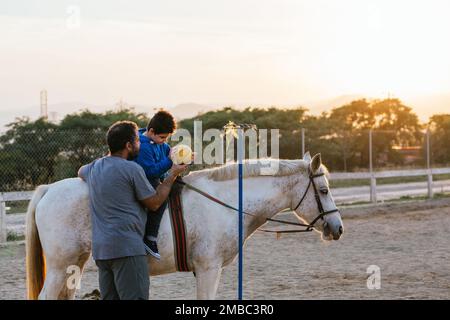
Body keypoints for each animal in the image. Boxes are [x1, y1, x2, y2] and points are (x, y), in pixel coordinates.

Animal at [26, 153, 344, 300]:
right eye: (324, 190)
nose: (338, 228)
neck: (227, 202)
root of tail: (48, 190)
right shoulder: (208, 268)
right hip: (59, 267)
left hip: (75, 264)